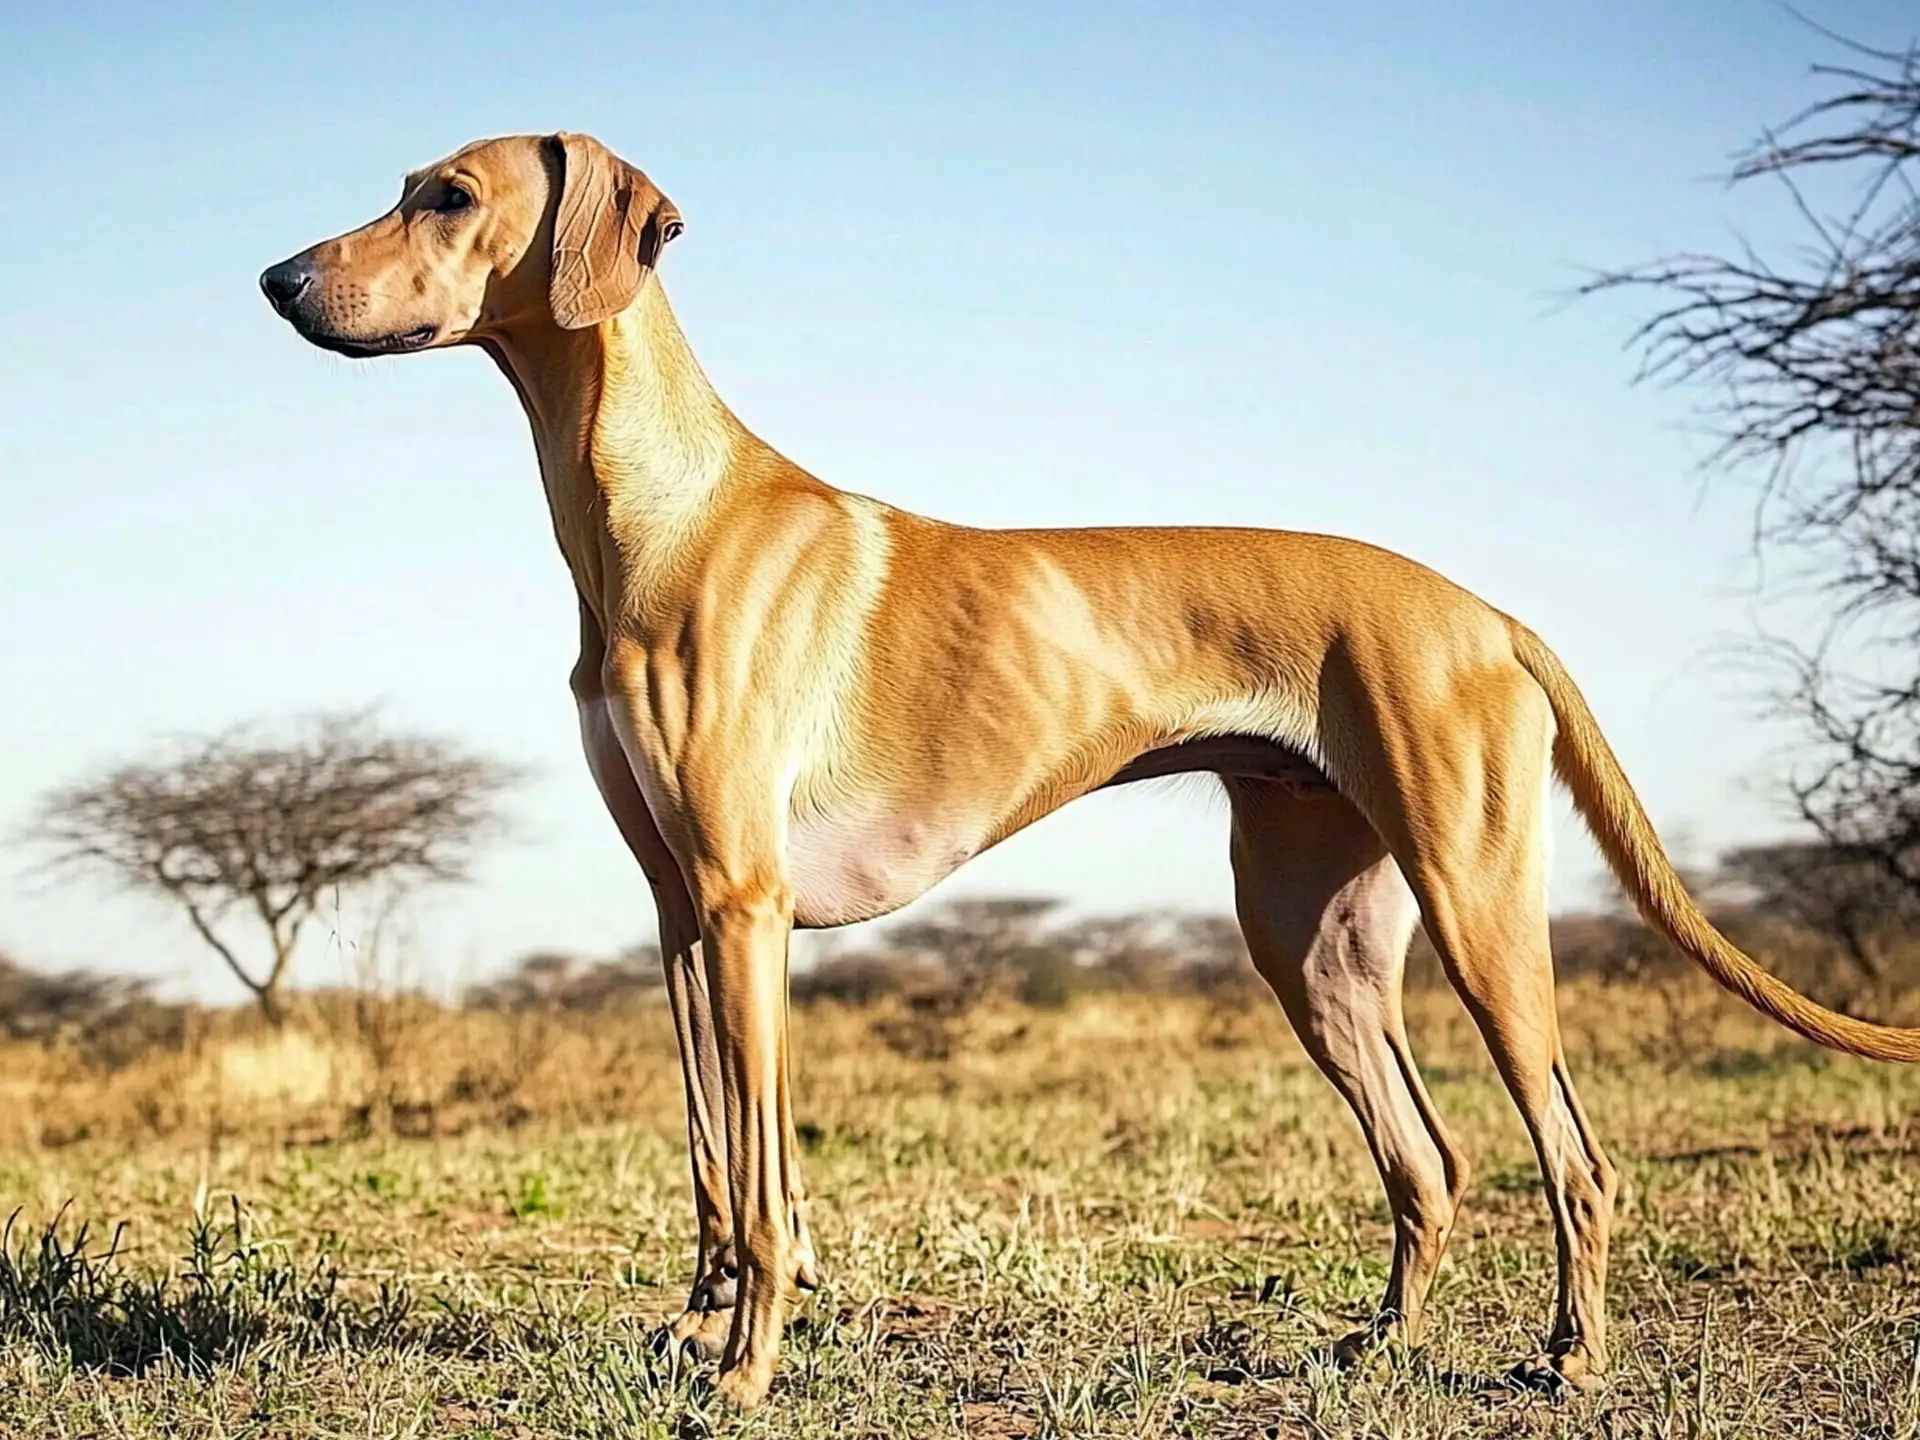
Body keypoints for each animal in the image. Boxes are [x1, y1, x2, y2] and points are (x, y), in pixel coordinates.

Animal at [259, 132, 1920, 1413]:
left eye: (450, 196)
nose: (276, 279)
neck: (656, 509)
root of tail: (1487, 612)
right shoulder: (679, 911)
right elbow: (717, 1162)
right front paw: (693, 1328)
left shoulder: (744, 908)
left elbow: (769, 1180)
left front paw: (743, 1376)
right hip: (1314, 946)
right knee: (1429, 1162)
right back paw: (1381, 1349)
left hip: (1480, 915)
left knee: (1573, 1158)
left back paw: (1568, 1362)